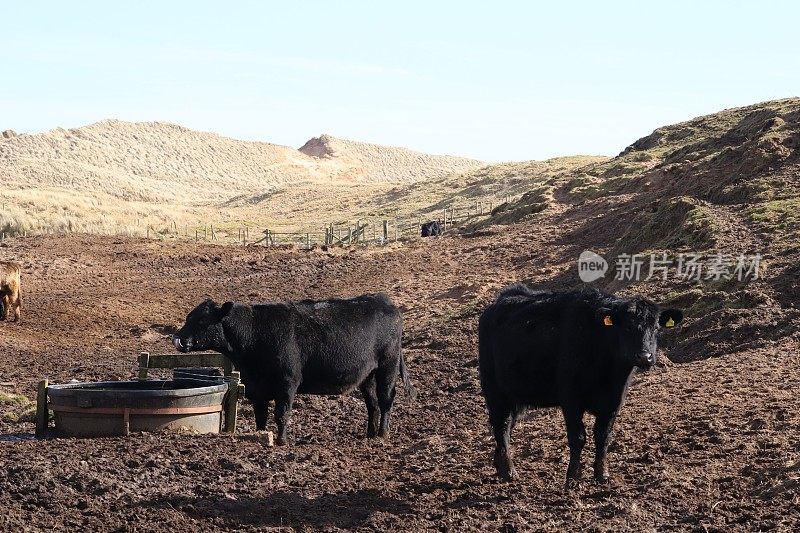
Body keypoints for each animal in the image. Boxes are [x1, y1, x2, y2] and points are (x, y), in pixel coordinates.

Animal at [171, 294, 416, 442]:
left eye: (201, 321)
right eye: (188, 317)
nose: (178, 338)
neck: (254, 334)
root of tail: (385, 301)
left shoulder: (287, 382)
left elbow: (282, 413)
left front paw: (282, 440)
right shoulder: (256, 388)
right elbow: (261, 416)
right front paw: (262, 435)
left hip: (387, 367)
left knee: (385, 399)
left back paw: (383, 433)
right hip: (367, 375)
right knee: (372, 403)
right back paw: (369, 434)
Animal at [478, 282, 684, 486]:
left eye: (656, 328)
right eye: (627, 327)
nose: (645, 356)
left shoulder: (614, 402)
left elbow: (603, 437)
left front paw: (602, 474)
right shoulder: (571, 400)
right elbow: (578, 437)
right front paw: (573, 476)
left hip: (515, 397)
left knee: (507, 426)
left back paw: (499, 463)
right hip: (494, 391)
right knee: (501, 425)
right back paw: (509, 471)